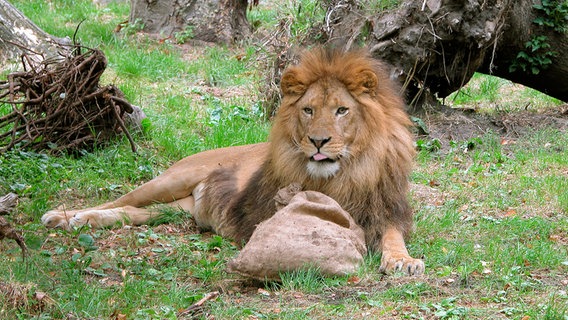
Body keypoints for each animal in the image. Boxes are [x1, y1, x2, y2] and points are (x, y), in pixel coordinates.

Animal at [42, 47, 424, 276]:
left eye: (342, 110)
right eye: (308, 110)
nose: (318, 141)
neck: (341, 175)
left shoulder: (388, 210)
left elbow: (393, 237)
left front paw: (403, 261)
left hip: (174, 210)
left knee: (130, 213)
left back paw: (81, 222)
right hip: (171, 180)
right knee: (118, 200)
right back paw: (66, 217)